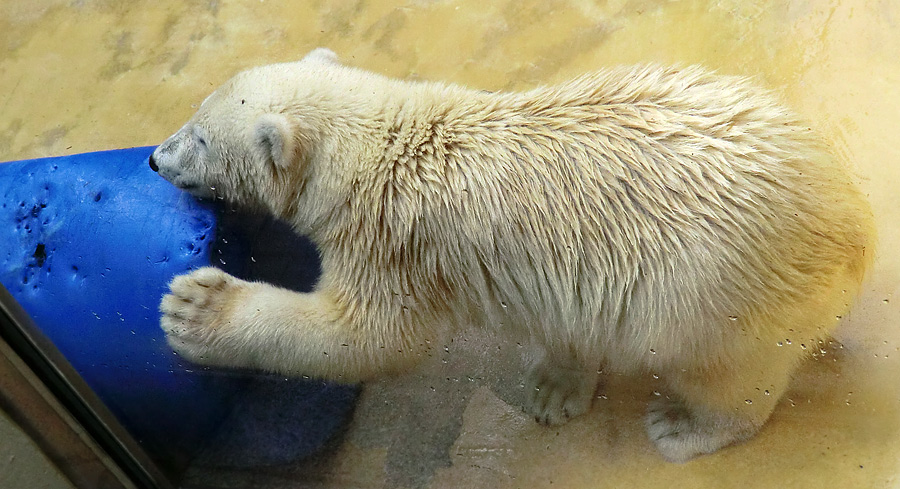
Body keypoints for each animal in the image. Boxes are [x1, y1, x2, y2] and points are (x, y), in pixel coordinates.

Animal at [151, 48, 876, 462]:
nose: (155, 158)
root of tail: (855, 221)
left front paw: (195, 308)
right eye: (193, 114)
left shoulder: (395, 244)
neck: (390, 145)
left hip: (725, 294)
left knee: (726, 375)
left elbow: (369, 335)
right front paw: (556, 385)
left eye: (200, 136)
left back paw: (682, 426)